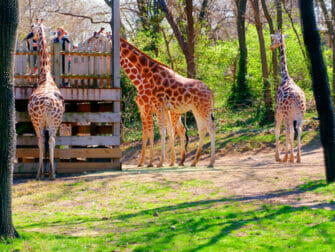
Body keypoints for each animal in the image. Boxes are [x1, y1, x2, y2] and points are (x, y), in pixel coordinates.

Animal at [85, 33, 188, 167]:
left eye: (97, 37)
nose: (86, 44)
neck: (139, 83)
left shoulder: (148, 108)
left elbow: (151, 133)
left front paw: (150, 162)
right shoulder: (142, 110)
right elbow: (145, 134)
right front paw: (142, 162)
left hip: (173, 113)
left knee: (176, 130)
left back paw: (173, 159)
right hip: (174, 114)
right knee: (180, 130)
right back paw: (179, 160)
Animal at [120, 38, 215, 167]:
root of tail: (211, 92)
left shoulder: (154, 106)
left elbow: (158, 132)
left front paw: (156, 162)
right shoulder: (154, 109)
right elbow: (163, 132)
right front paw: (161, 161)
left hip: (201, 109)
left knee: (210, 128)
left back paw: (210, 162)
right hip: (196, 110)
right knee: (200, 129)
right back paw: (192, 162)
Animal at [270, 32, 308, 162]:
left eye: (273, 39)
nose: (271, 47)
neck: (285, 77)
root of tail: (296, 99)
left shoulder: (278, 110)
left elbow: (279, 131)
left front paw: (279, 157)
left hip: (287, 113)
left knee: (289, 130)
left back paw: (290, 157)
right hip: (300, 113)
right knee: (299, 129)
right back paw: (298, 157)